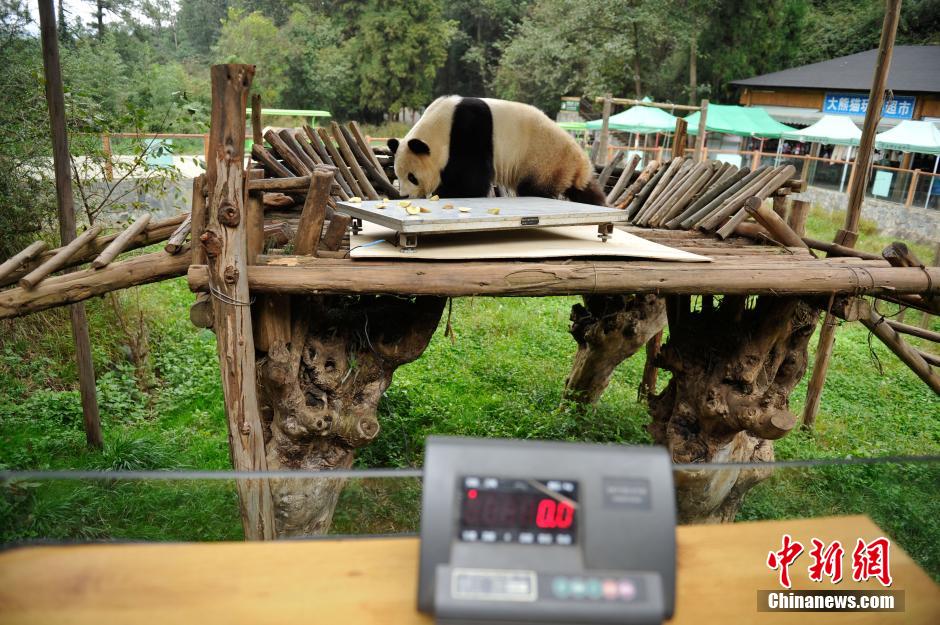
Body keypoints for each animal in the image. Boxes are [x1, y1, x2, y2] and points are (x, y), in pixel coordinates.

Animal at [388, 96, 605, 206]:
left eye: (412, 177)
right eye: (397, 175)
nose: (404, 196)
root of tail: (578, 162)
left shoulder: (469, 131)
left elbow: (471, 180)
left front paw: (444, 193)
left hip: (544, 162)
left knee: (535, 189)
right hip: (570, 169)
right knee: (586, 189)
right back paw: (597, 202)